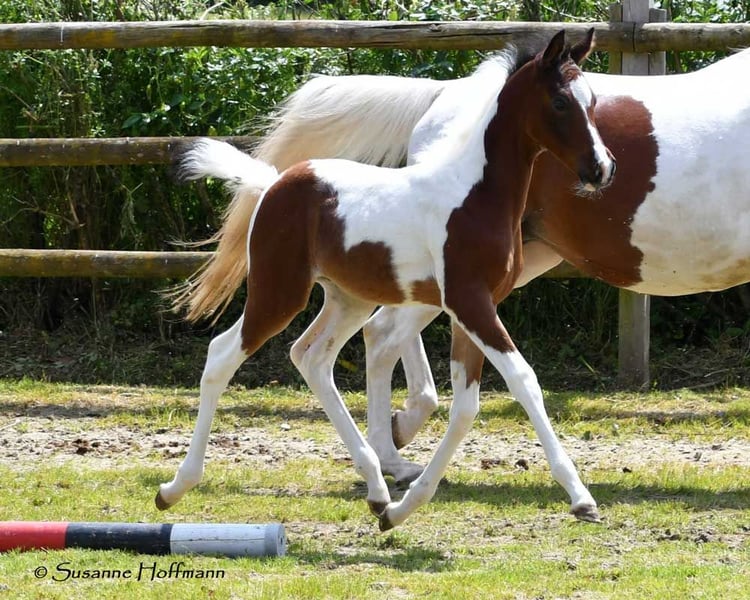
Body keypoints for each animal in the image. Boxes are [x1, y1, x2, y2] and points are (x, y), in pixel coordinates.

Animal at [168, 34, 750, 517]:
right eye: (561, 102)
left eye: (594, 103)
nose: (603, 170)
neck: (472, 192)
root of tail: (274, 182)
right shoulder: (471, 303)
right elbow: (523, 382)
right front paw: (581, 497)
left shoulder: (478, 306)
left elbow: (469, 404)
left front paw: (408, 504)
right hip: (281, 290)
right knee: (228, 352)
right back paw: (177, 486)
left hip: (347, 297)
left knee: (317, 355)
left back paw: (379, 481)